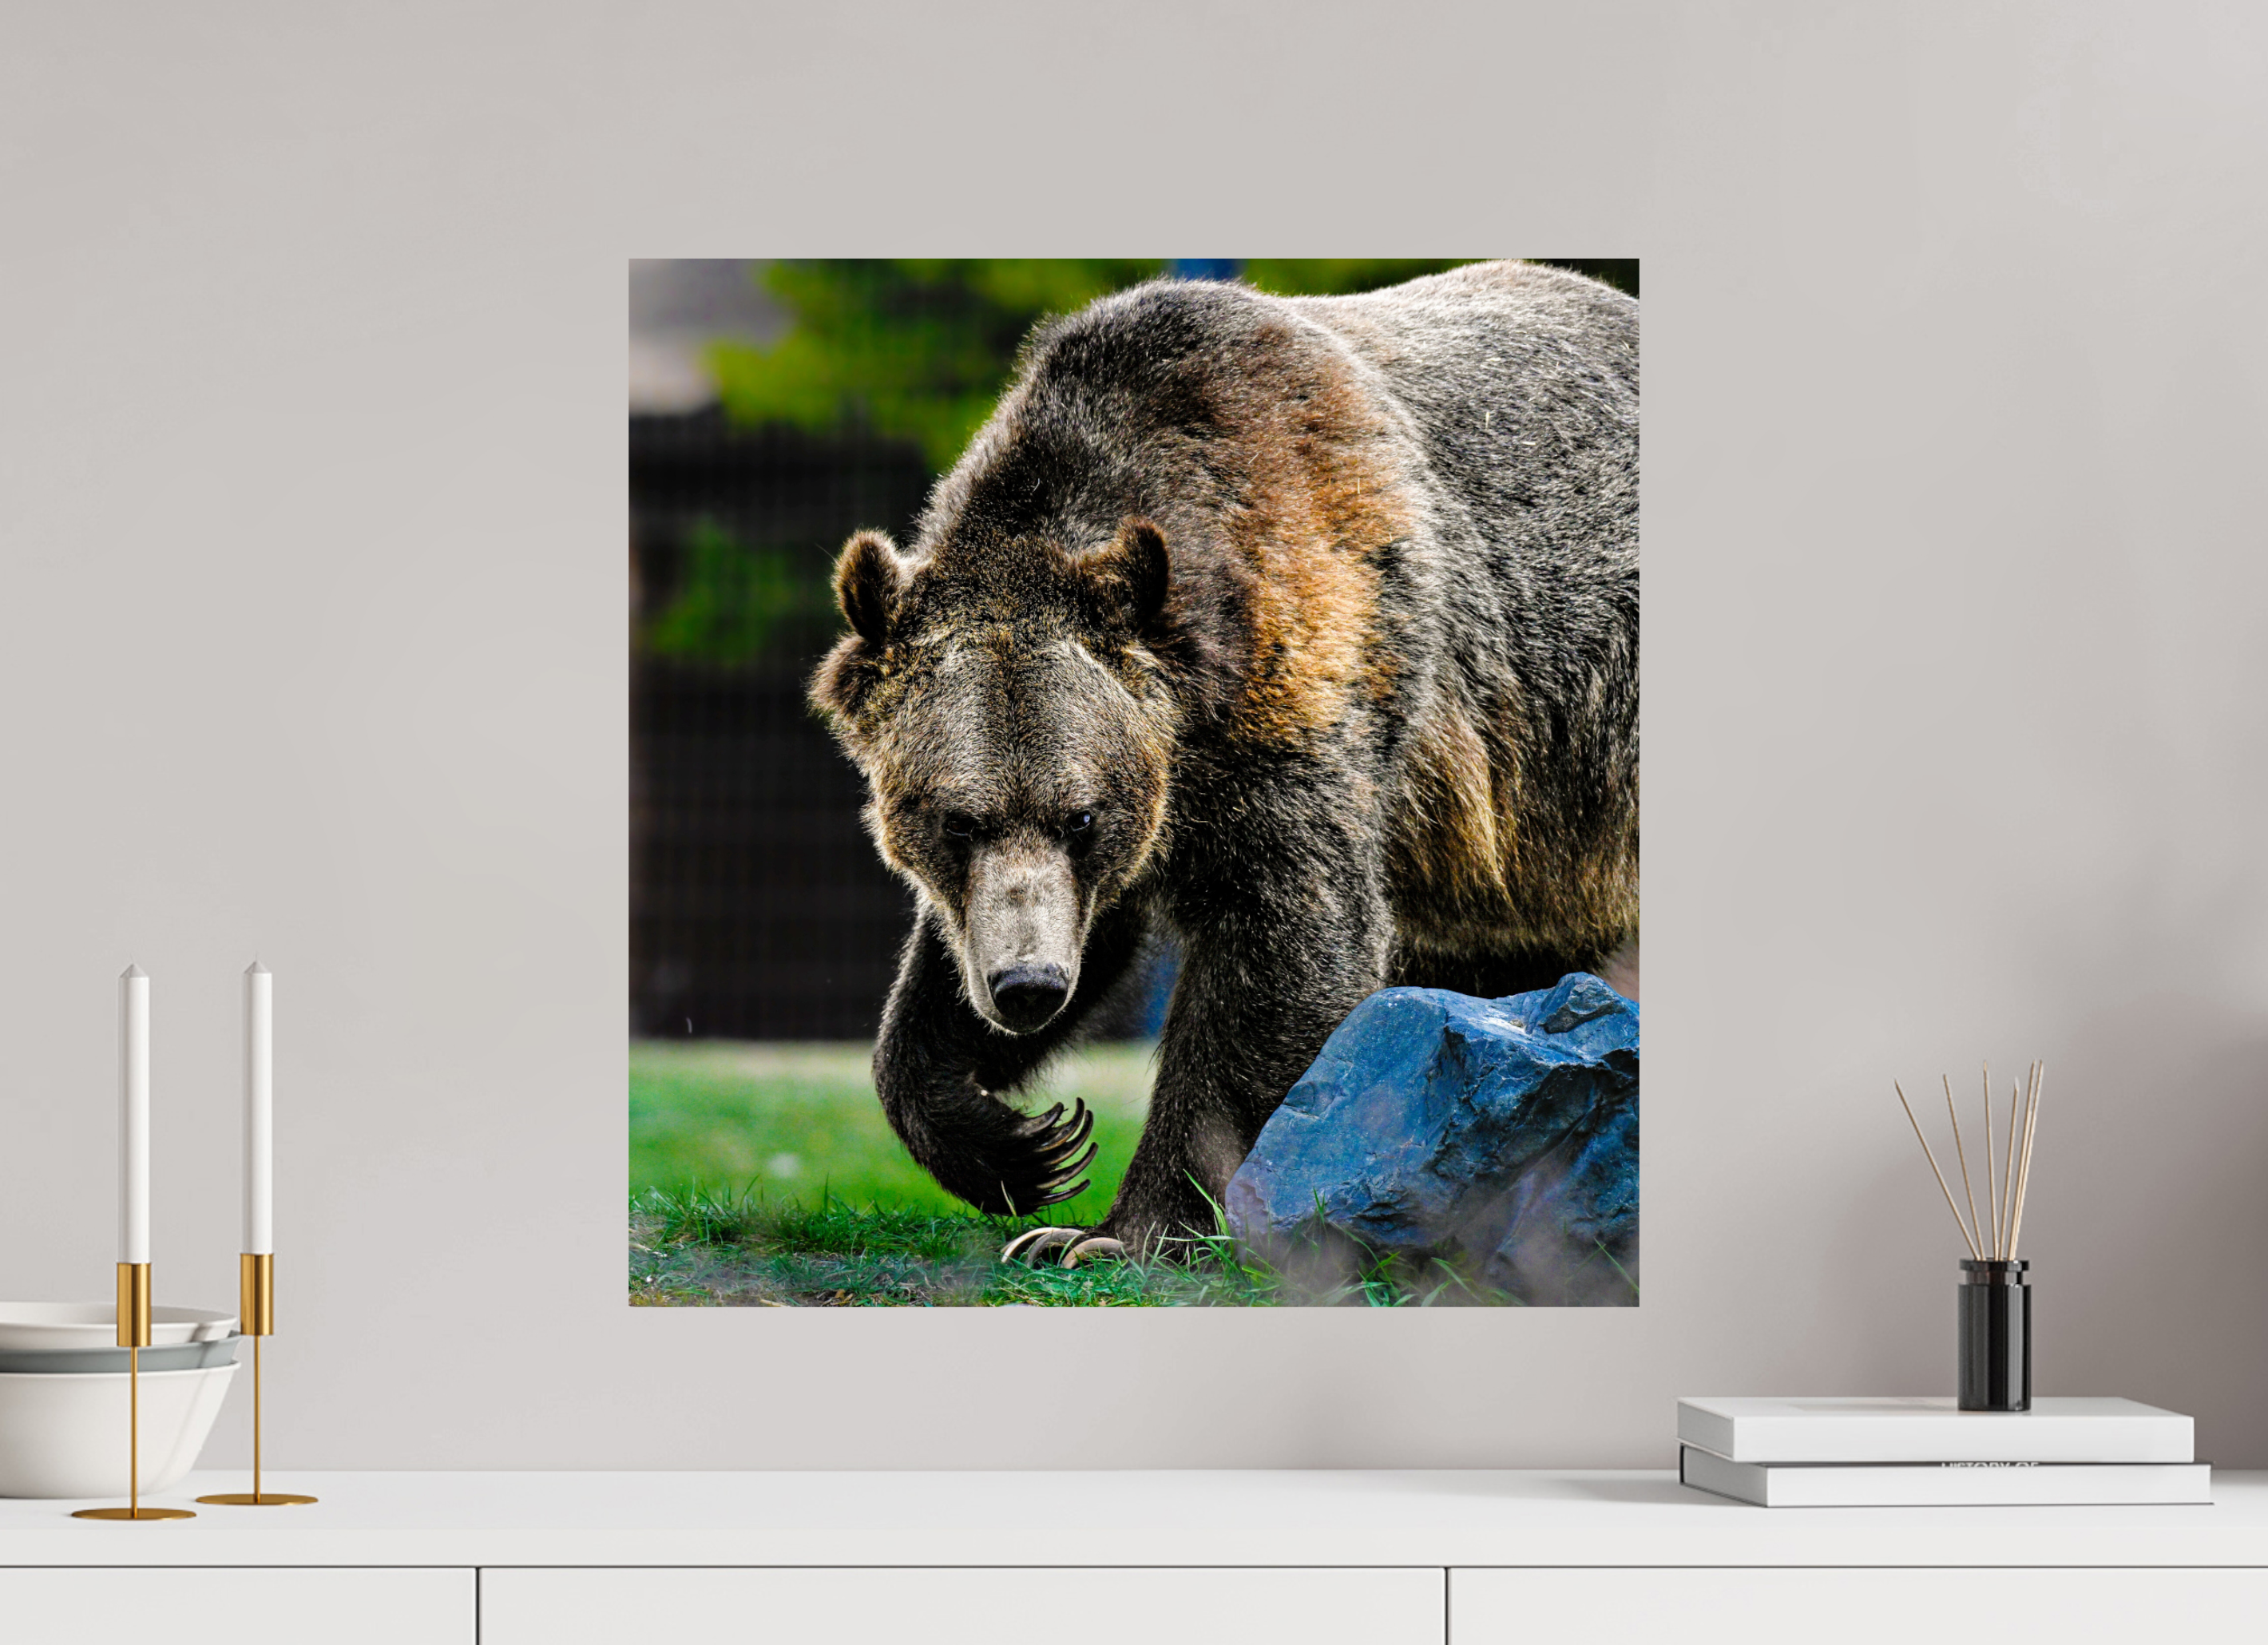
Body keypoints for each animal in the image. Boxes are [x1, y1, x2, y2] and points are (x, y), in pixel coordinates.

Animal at [810, 260, 1638, 1263]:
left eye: (1081, 813)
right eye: (954, 818)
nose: (1027, 987)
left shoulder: (1309, 686)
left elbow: (1281, 949)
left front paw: (1115, 1229)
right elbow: (976, 957)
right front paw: (1015, 1145)